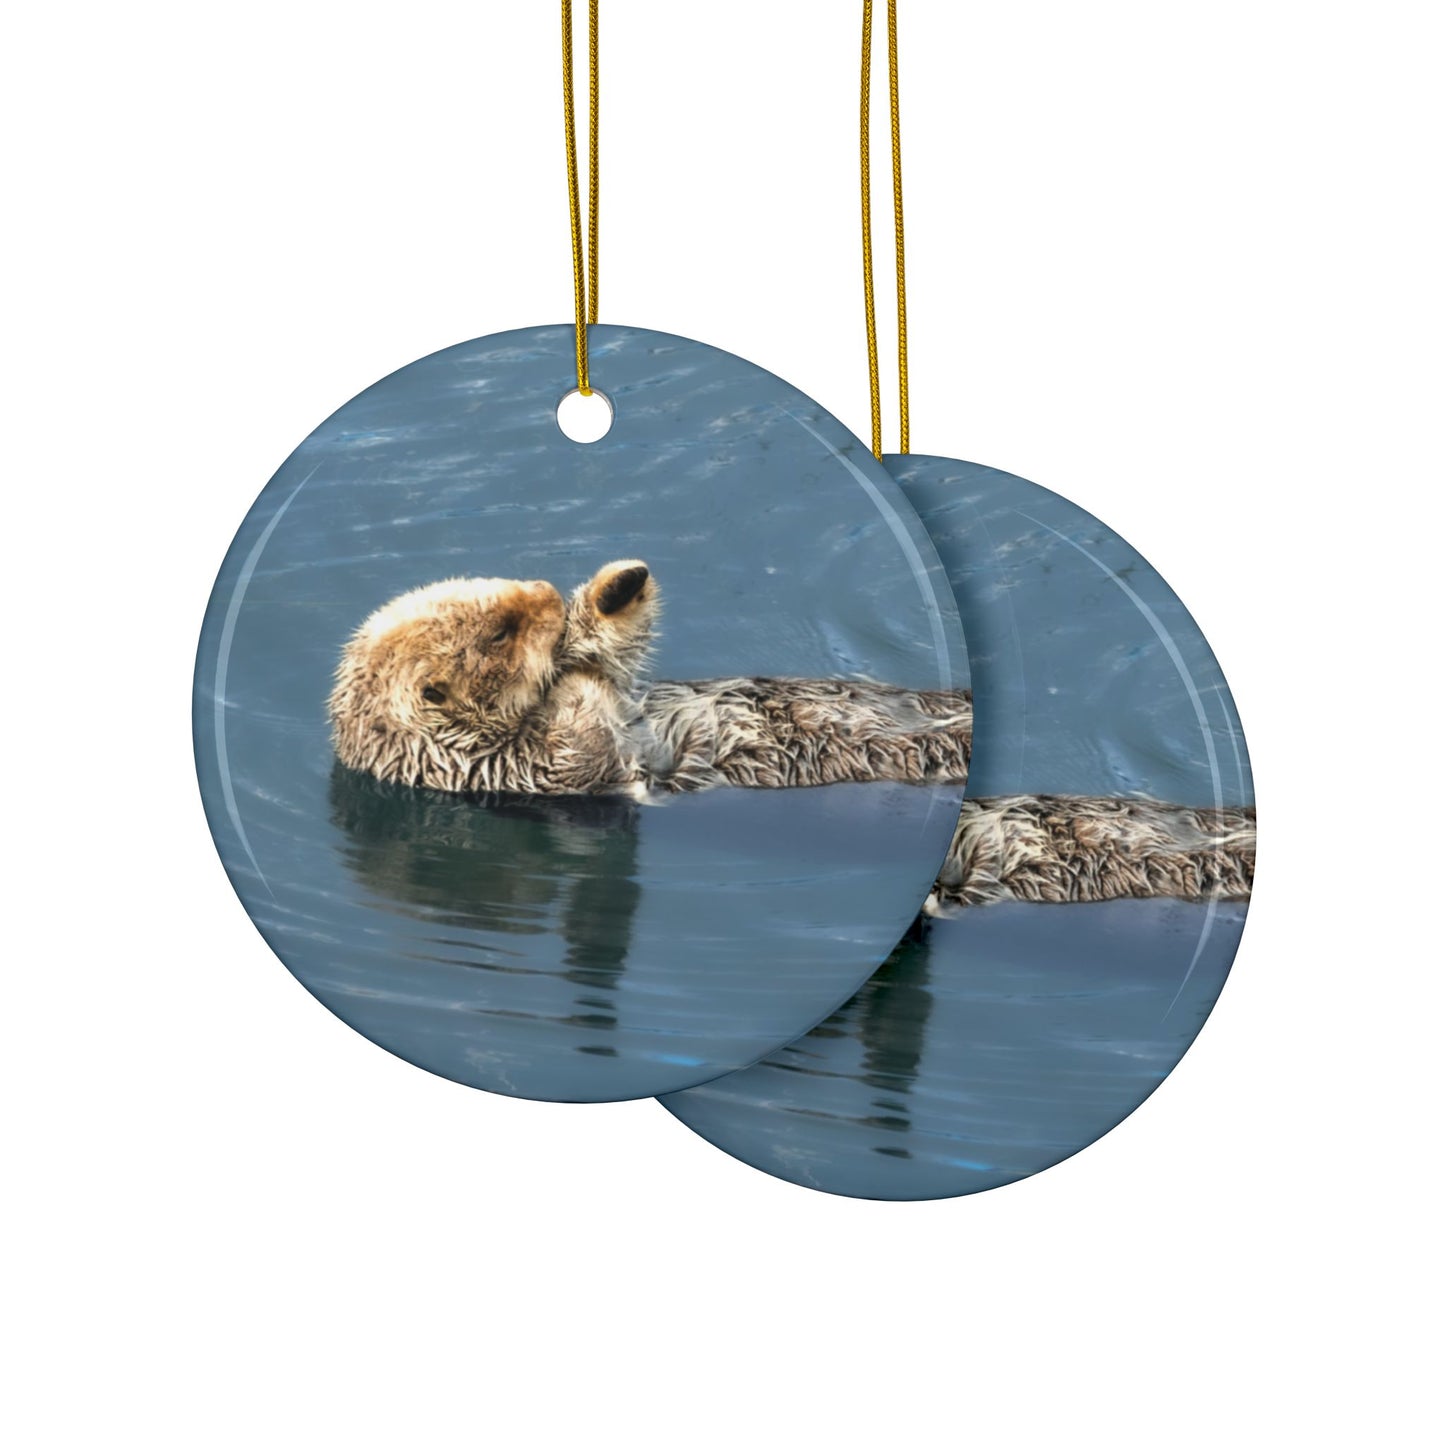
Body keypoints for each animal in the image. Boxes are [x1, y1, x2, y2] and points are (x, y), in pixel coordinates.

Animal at [329, 559, 1254, 905]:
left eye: (498, 592)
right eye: (496, 632)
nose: (546, 596)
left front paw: (613, 592)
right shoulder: (529, 775)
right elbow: (584, 734)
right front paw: (579, 661)